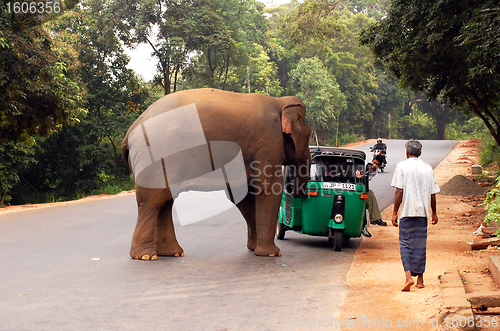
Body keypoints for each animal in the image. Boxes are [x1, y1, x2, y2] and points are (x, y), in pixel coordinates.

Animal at [121, 89, 310, 262]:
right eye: (308, 136)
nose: (299, 194)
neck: (279, 101)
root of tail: (130, 131)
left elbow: (241, 194)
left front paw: (254, 248)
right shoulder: (268, 142)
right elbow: (268, 188)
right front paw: (271, 253)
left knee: (164, 202)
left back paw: (171, 253)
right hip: (156, 159)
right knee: (151, 202)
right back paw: (145, 256)